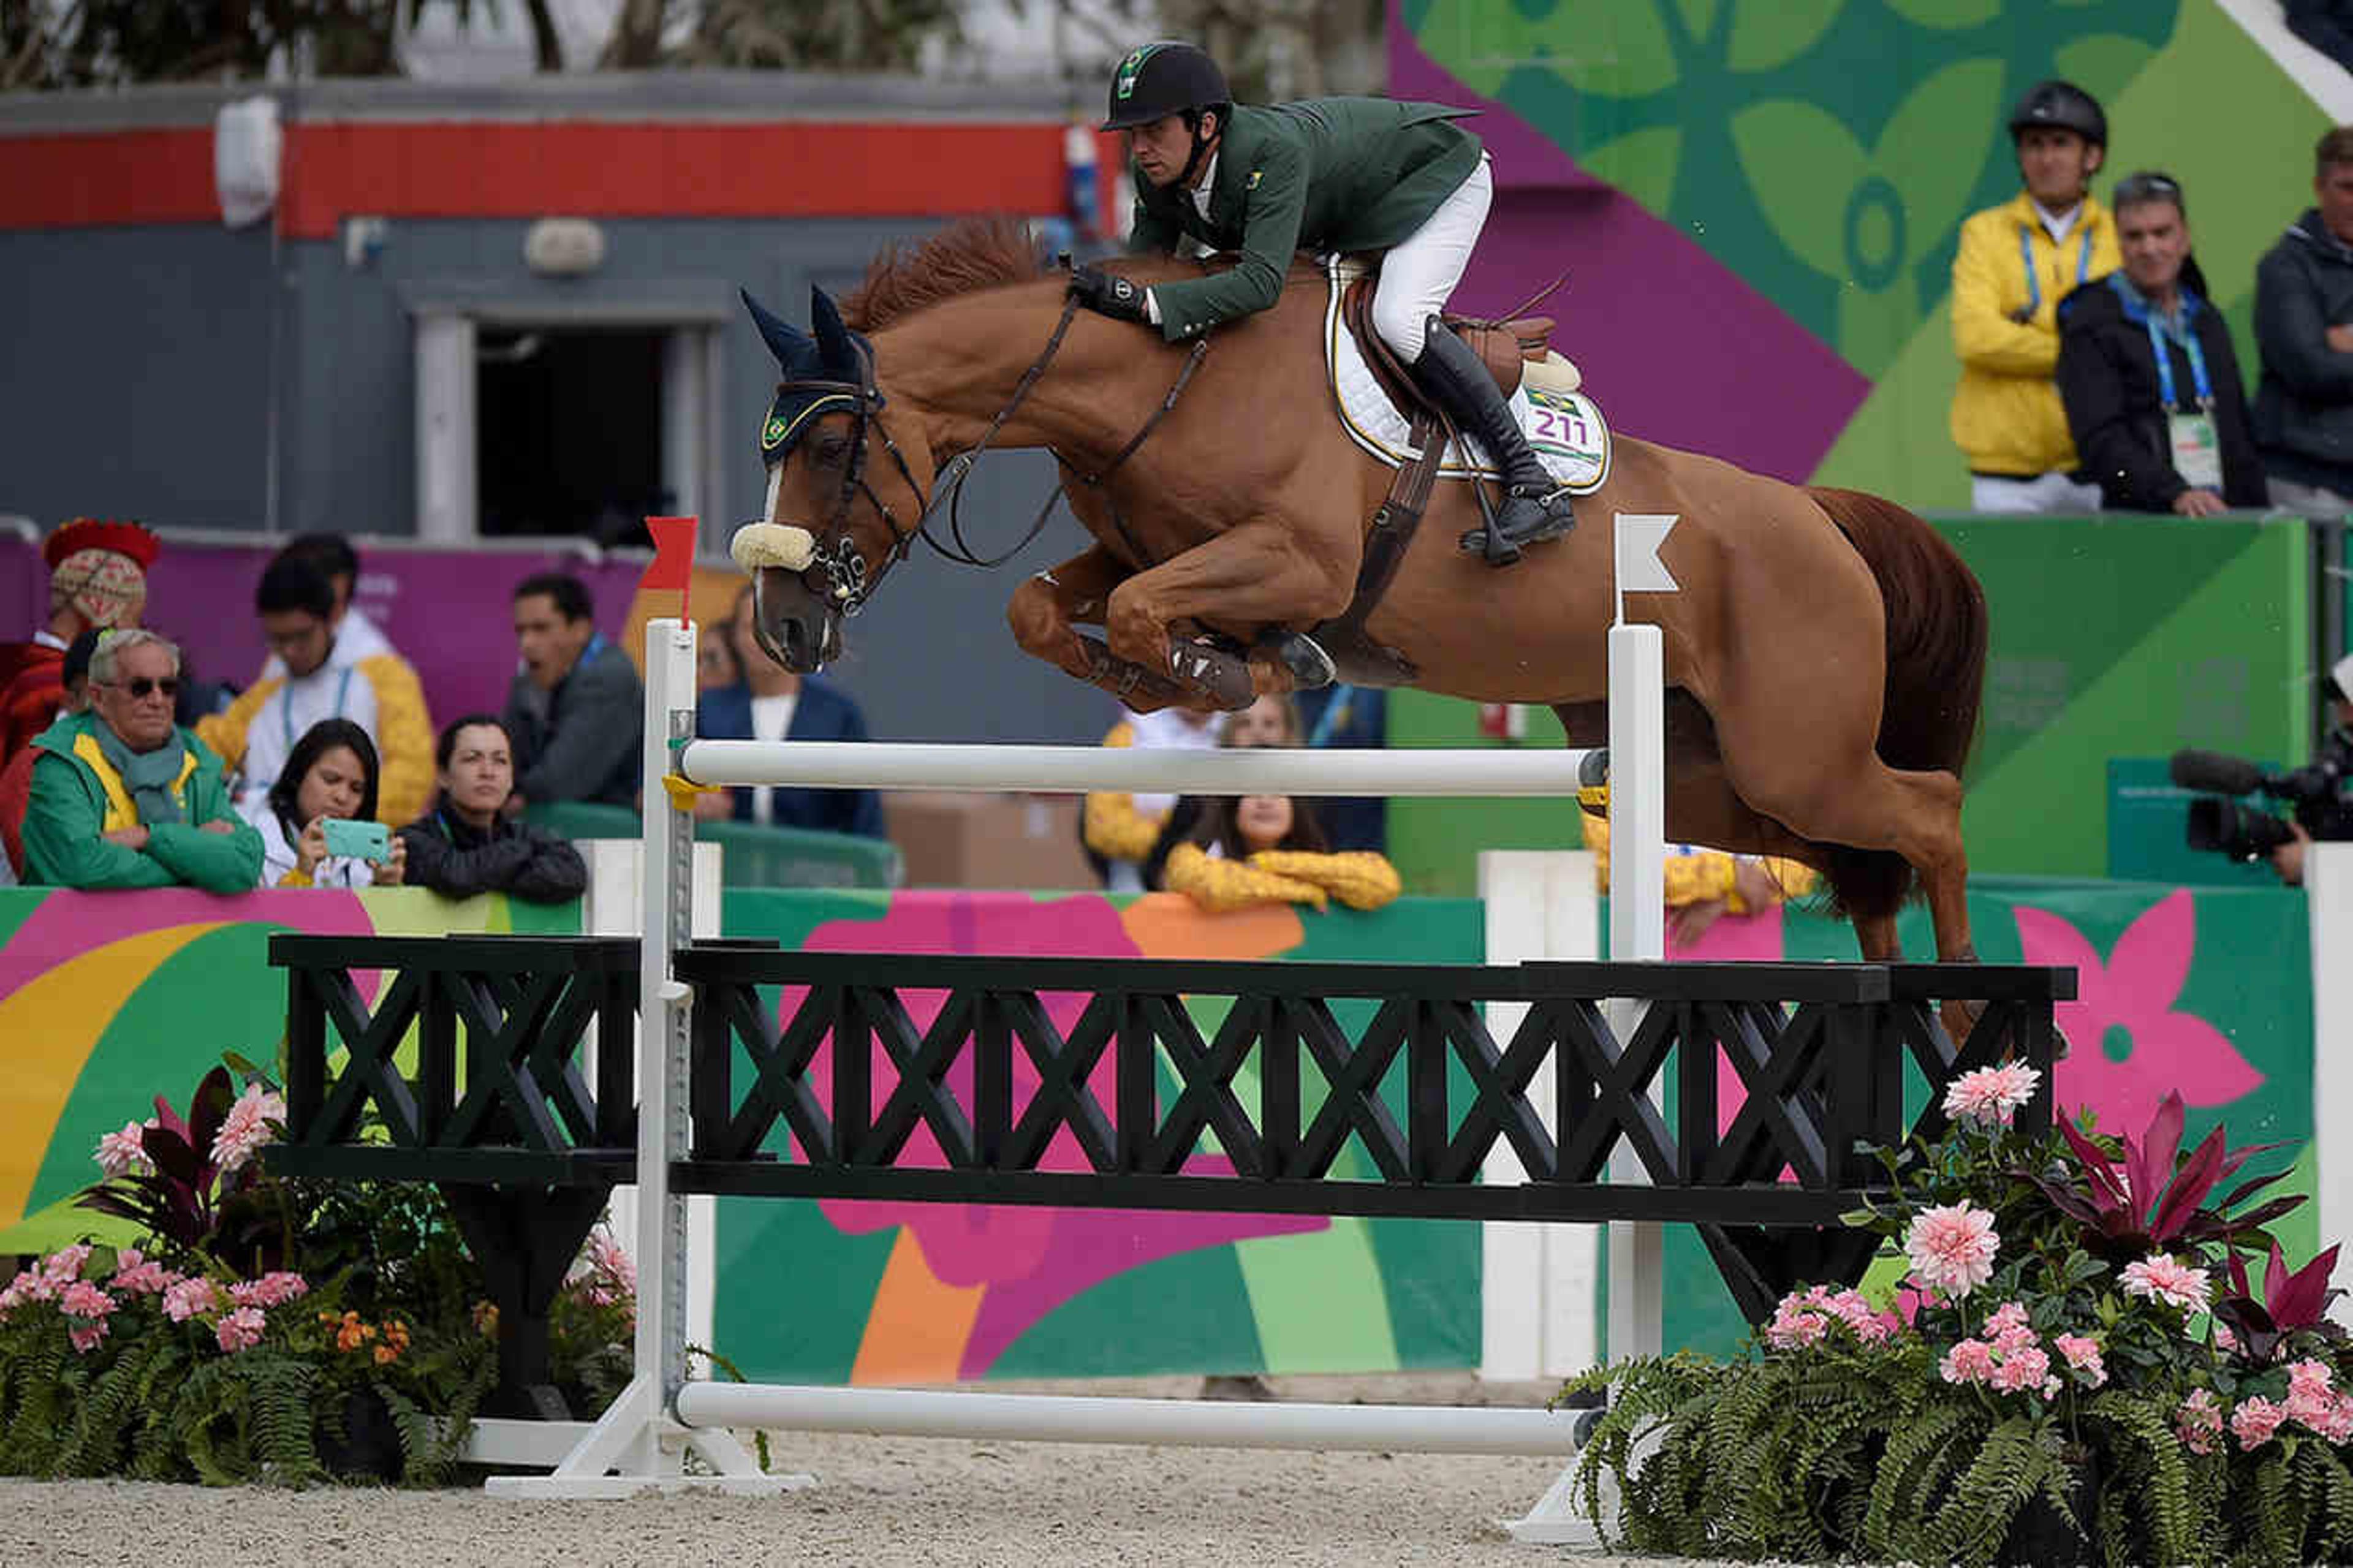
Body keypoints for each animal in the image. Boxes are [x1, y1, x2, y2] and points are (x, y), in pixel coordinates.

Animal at [734, 214, 1985, 960]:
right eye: (770, 450)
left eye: (830, 447)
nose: (784, 627)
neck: (1165, 374)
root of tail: (1819, 515)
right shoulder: (1141, 550)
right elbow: (1044, 606)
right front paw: (1169, 669)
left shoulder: (1298, 555)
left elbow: (1152, 611)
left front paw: (1218, 666)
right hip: (1698, 776)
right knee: (1852, 857)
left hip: (1794, 752)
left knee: (1928, 812)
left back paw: (1964, 1037)